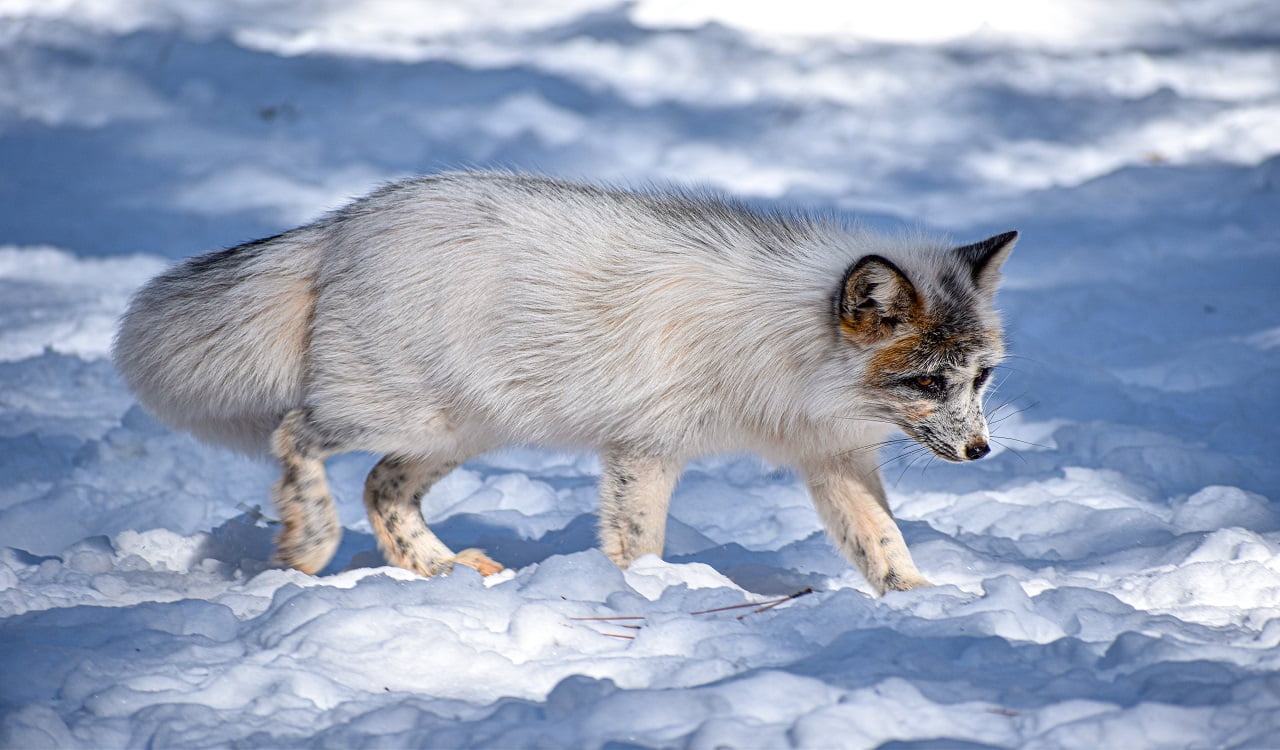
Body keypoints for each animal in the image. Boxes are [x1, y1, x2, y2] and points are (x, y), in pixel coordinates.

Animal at [120, 172, 1018, 593]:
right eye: (928, 381)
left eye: (979, 377)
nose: (981, 452)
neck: (789, 349)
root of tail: (346, 221)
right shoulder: (645, 450)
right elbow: (637, 544)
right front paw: (651, 600)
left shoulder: (830, 458)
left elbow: (882, 545)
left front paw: (919, 602)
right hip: (392, 413)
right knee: (295, 436)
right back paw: (309, 542)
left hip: (459, 430)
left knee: (382, 488)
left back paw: (440, 570)